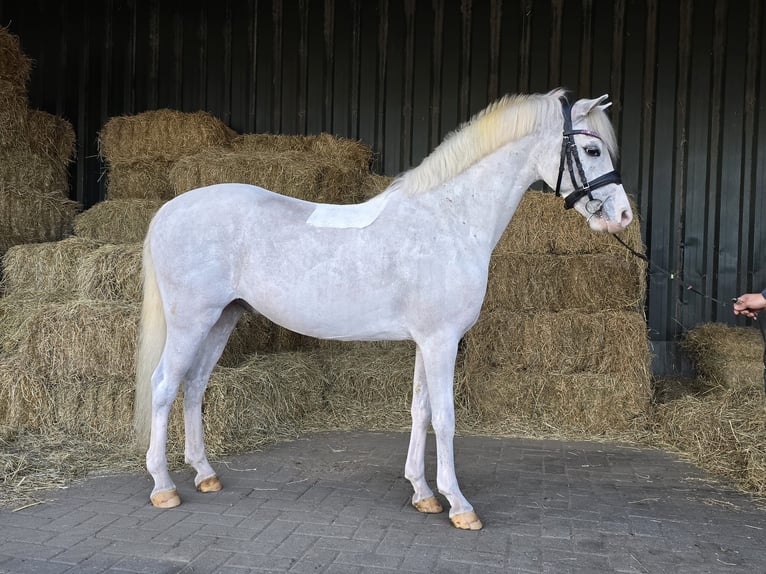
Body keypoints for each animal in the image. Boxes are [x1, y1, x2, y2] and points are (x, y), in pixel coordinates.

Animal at [134, 88, 636, 532]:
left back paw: (205, 475)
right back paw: (163, 487)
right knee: (163, 386)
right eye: (591, 149)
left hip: (223, 318)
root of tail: (168, 211)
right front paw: (459, 505)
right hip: (191, 321)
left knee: (194, 386)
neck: (449, 218)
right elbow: (446, 419)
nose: (623, 216)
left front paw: (423, 494)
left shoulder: (428, 341)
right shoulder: (441, 341)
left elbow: (421, 411)